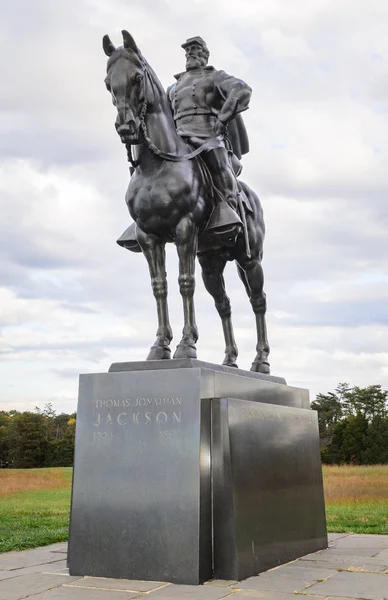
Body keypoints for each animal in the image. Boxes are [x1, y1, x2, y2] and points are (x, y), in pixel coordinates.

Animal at [102, 31, 270, 376]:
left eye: (137, 78)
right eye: (108, 83)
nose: (126, 127)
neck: (156, 166)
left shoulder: (185, 230)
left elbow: (184, 283)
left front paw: (187, 344)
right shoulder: (149, 237)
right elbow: (160, 286)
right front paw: (159, 346)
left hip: (250, 259)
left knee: (258, 300)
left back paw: (260, 361)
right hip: (212, 261)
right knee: (223, 304)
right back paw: (229, 360)